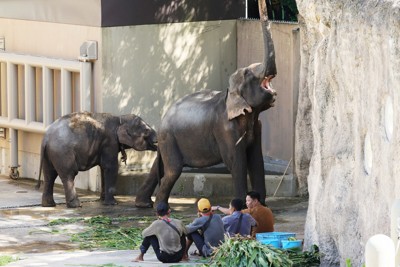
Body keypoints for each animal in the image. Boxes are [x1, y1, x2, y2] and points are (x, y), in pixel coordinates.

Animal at [136, 0, 276, 209]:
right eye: (248, 74)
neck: (230, 94)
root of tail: (162, 119)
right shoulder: (225, 129)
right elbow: (237, 162)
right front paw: (242, 206)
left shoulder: (256, 127)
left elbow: (257, 161)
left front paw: (262, 206)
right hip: (169, 138)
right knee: (173, 170)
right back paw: (159, 207)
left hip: (166, 141)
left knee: (159, 167)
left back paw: (142, 204)